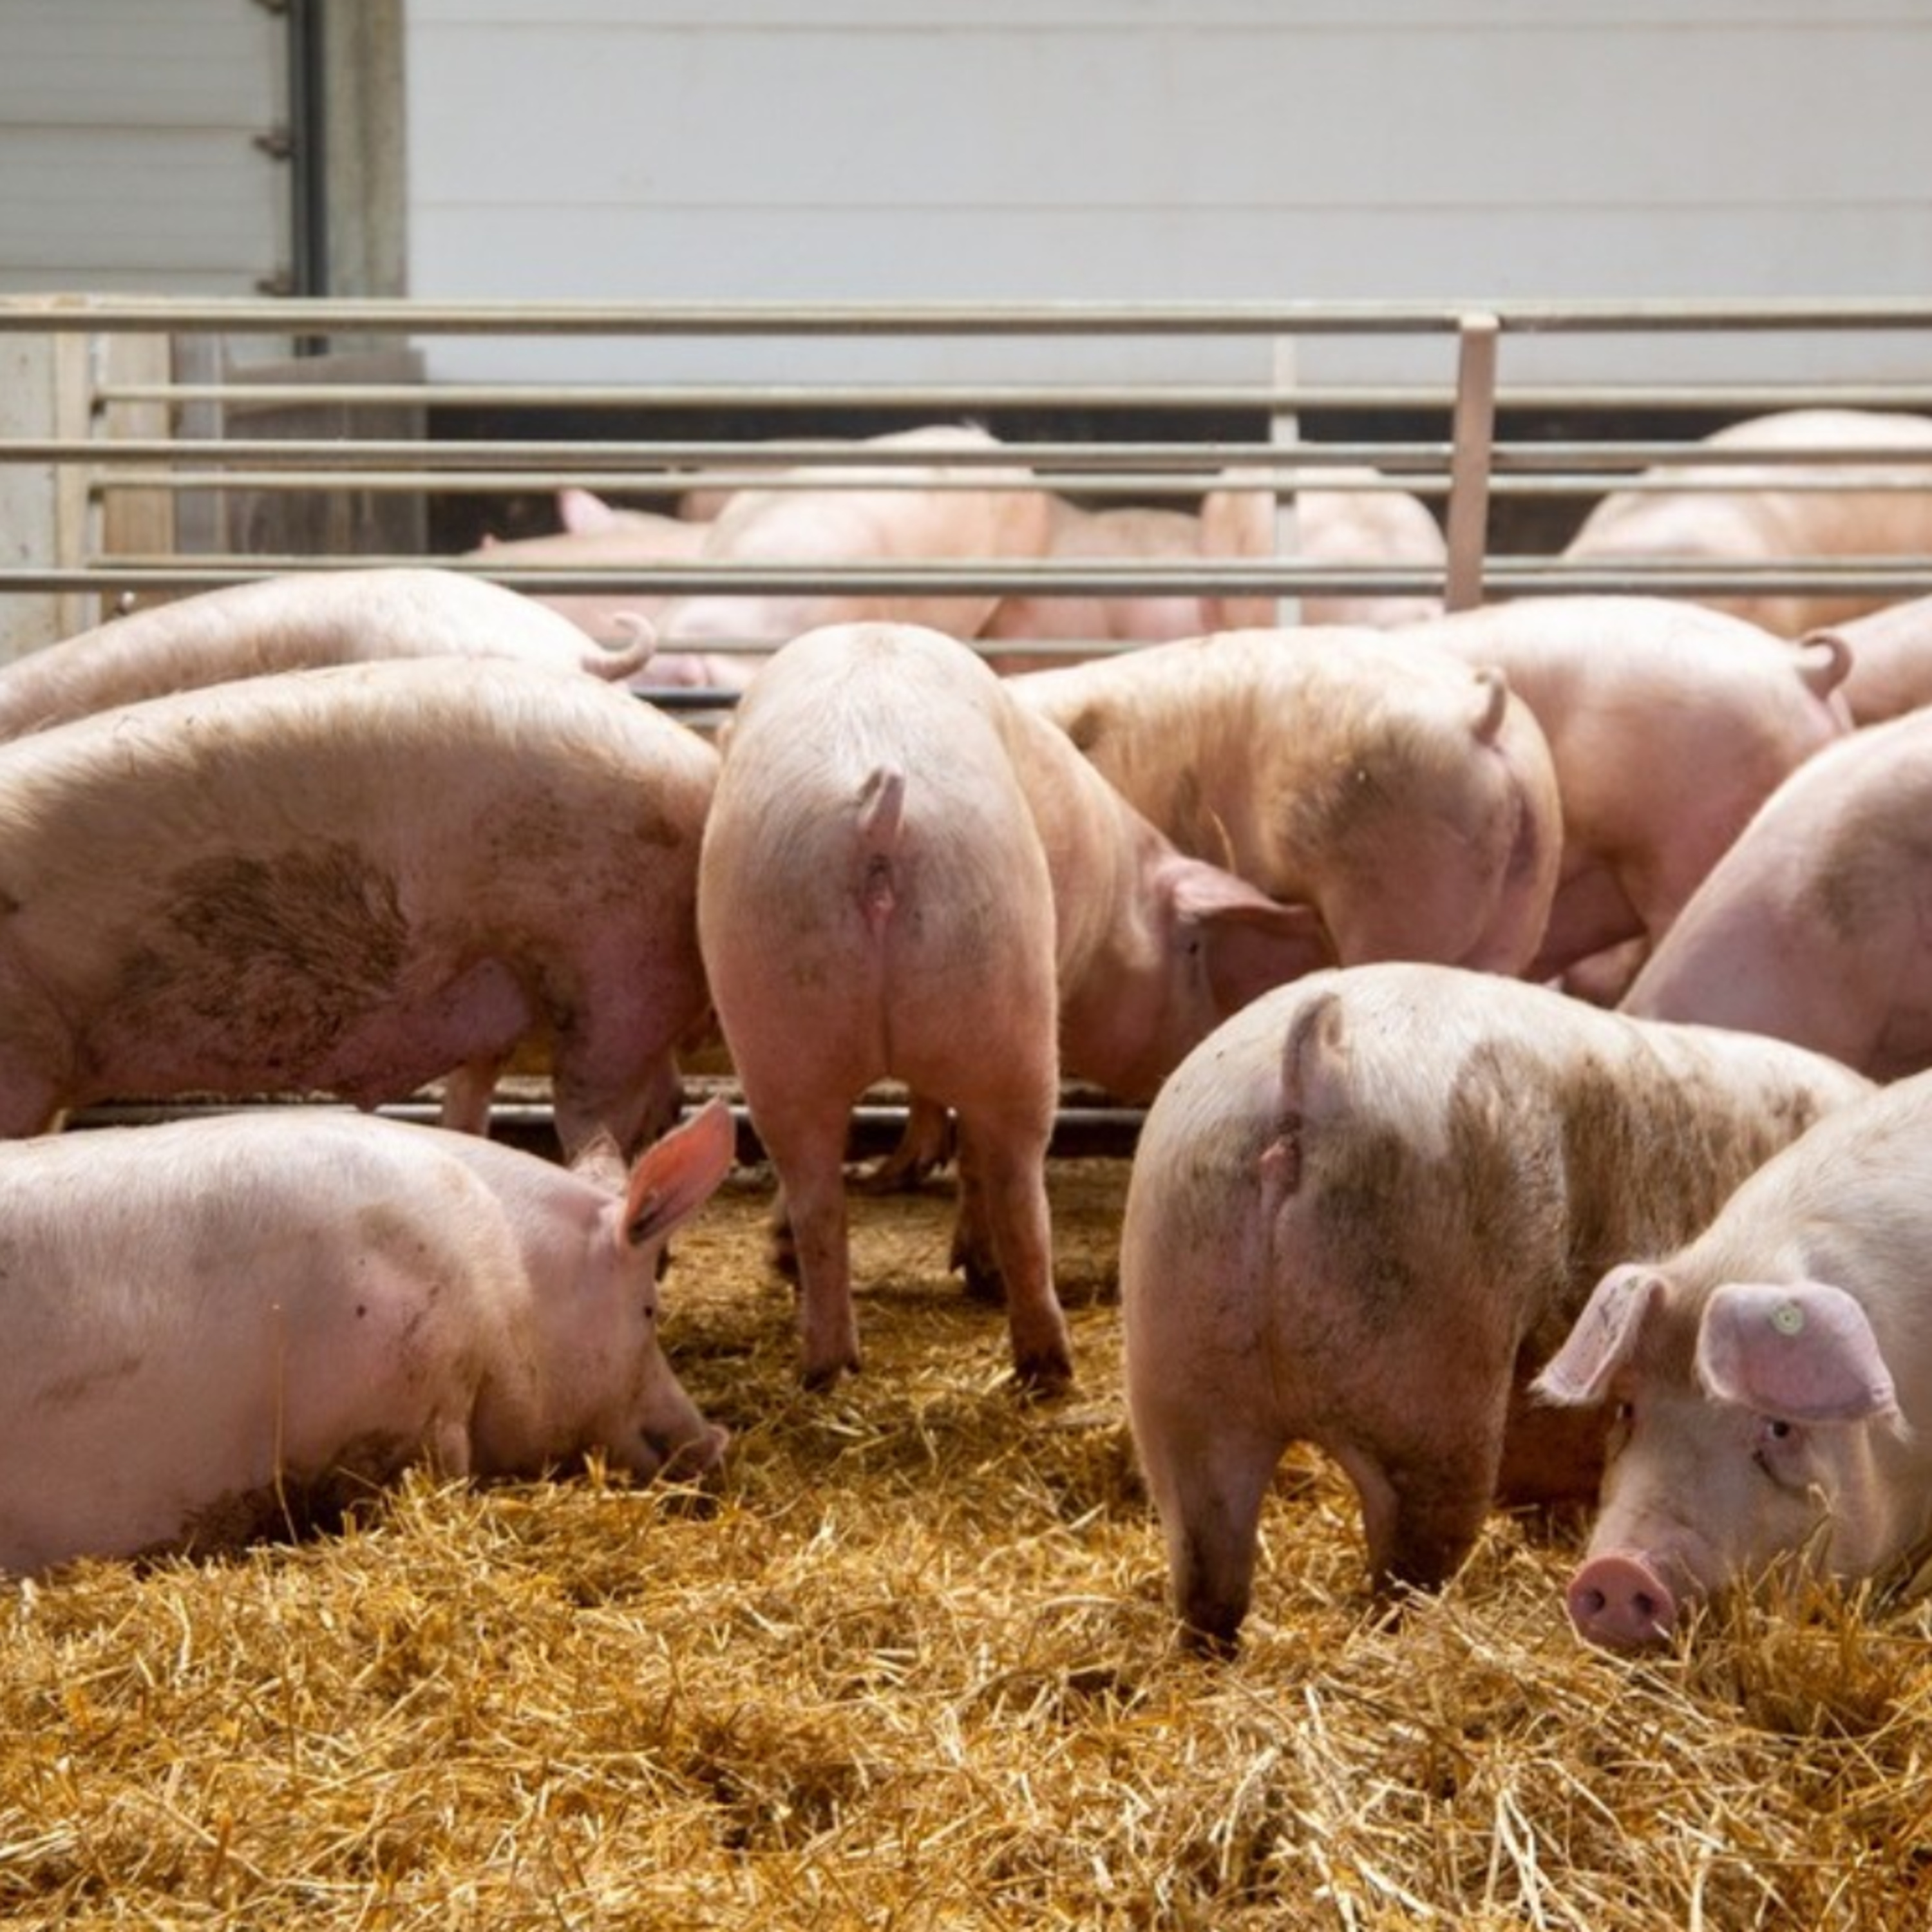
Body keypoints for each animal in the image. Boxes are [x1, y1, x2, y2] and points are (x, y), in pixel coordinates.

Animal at [697, 620, 1328, 1392]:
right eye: (1195, 956)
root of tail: (878, 813)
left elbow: (924, 1102)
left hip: (778, 1009)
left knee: (816, 1188)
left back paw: (826, 1360)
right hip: (1009, 997)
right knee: (1013, 1179)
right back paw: (1038, 1353)